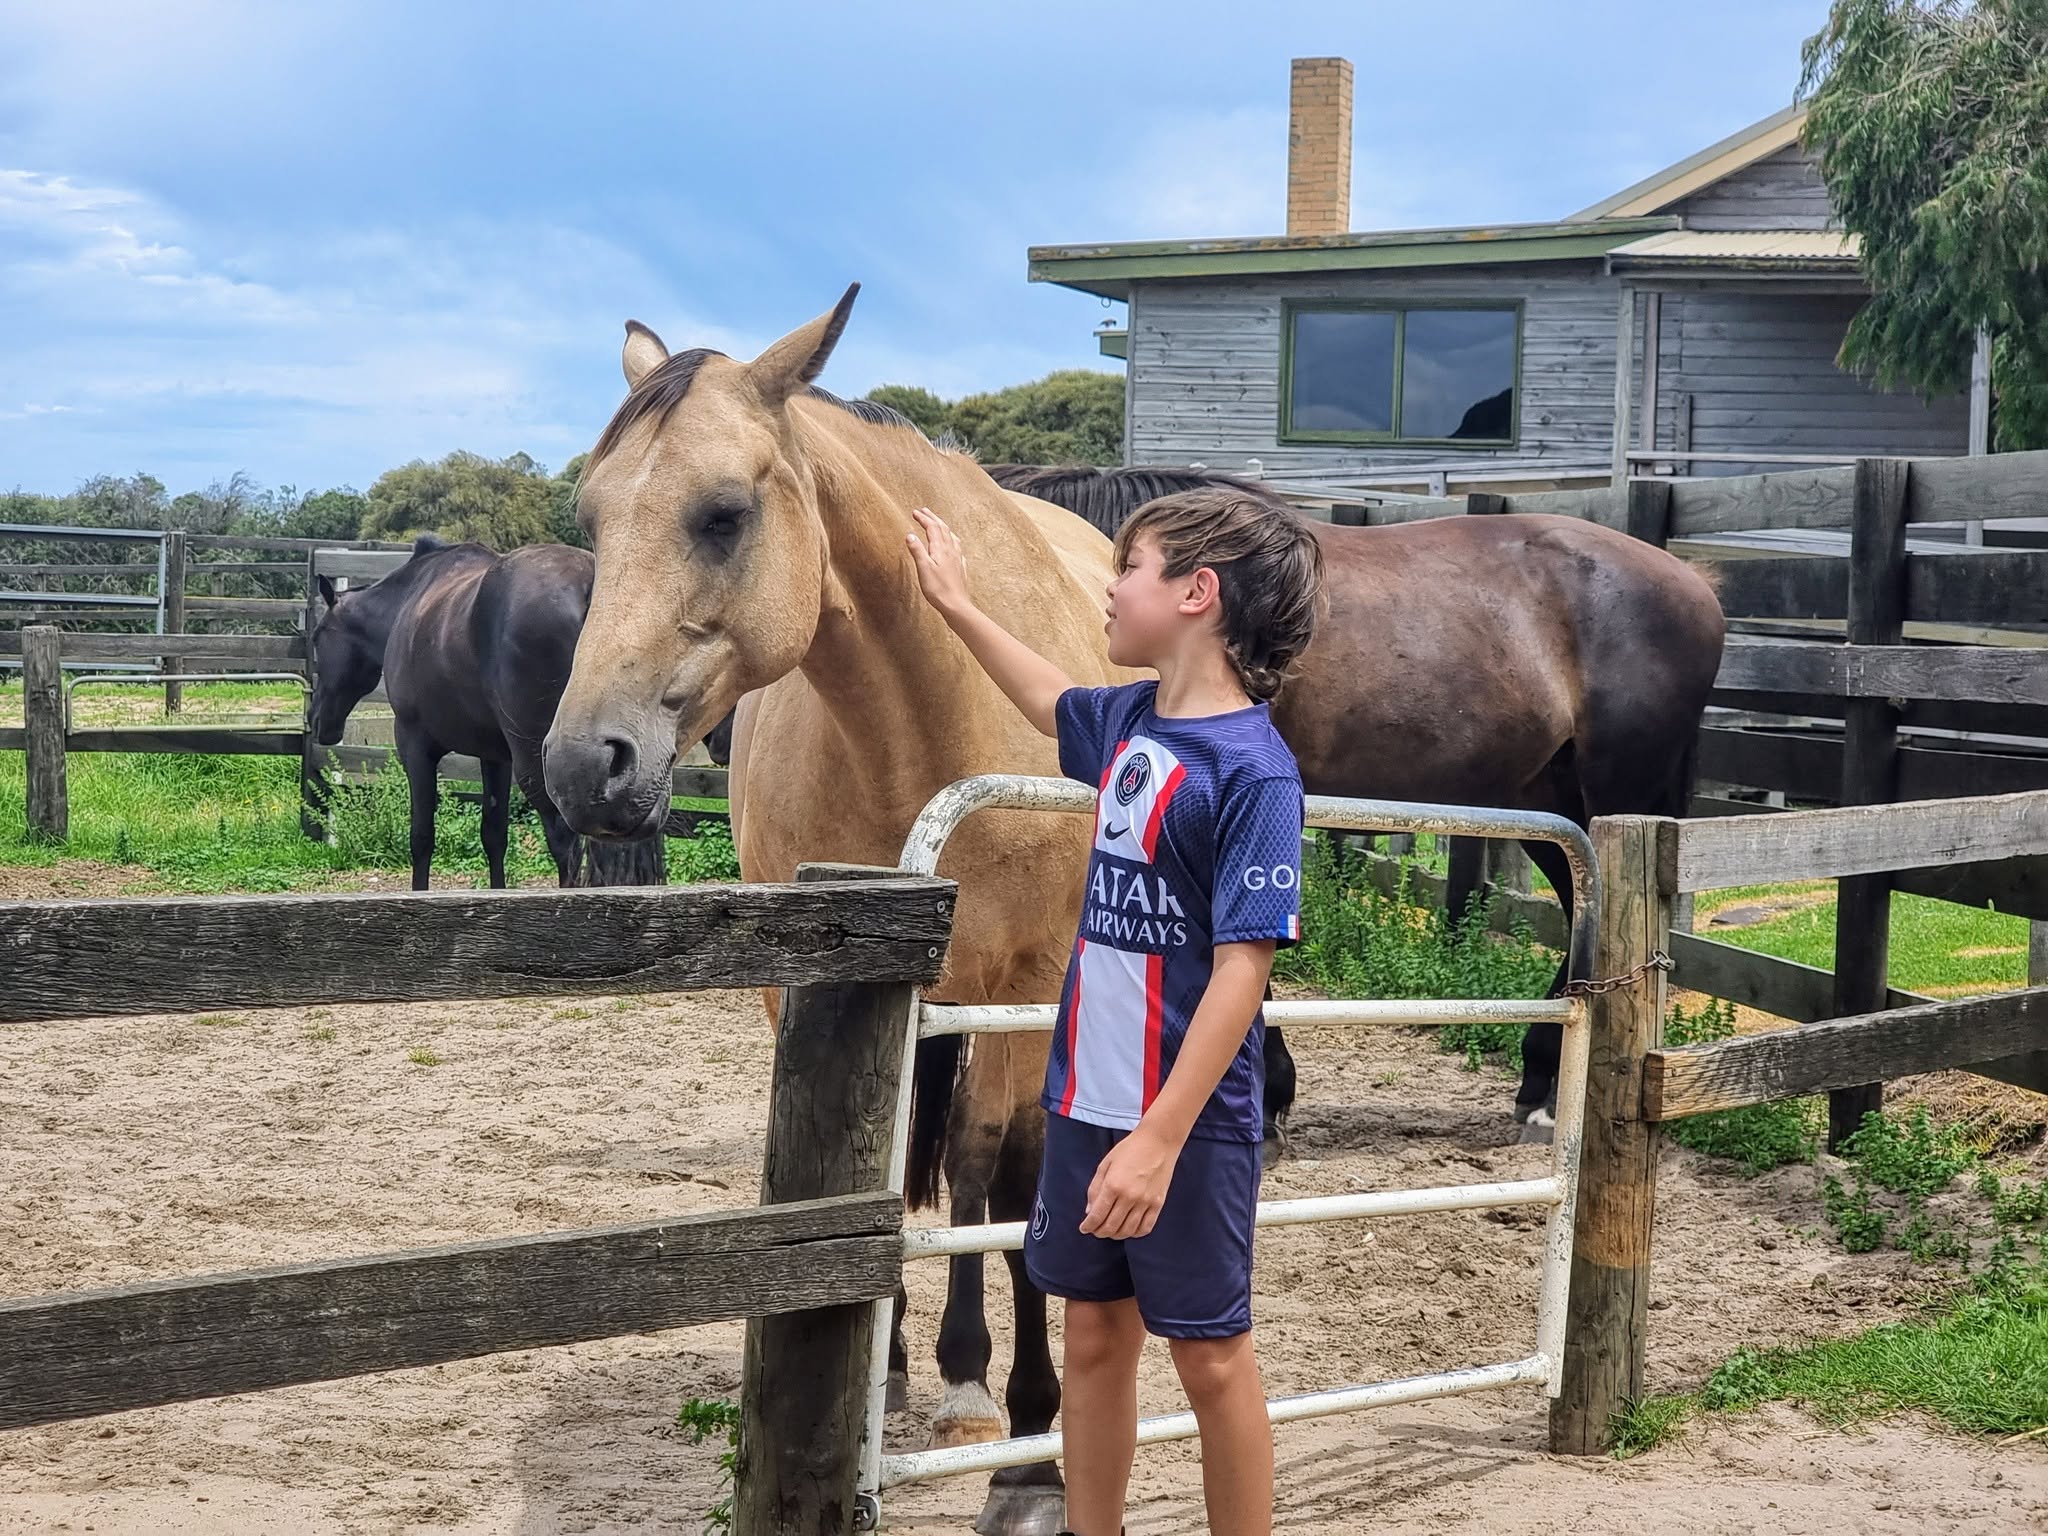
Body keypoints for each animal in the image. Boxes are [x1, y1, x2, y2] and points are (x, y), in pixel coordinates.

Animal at [308, 535, 667, 890]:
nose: (315, 719)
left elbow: (421, 837)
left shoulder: (415, 746)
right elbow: (494, 836)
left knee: (564, 844)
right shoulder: (495, 758)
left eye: (317, 637)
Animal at [543, 287, 1126, 1535]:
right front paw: (887, 1358)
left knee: (977, 1162)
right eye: (593, 518)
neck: (927, 710)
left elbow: (1006, 1170)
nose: (580, 766)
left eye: (722, 515)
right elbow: (863, 1172)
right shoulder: (808, 975)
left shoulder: (1030, 978)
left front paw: (1021, 1437)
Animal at [987, 463, 1725, 1137]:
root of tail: (1697, 584)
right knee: (1581, 908)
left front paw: (1266, 1095)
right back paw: (1540, 1081)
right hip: (1551, 802)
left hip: (1619, 792)